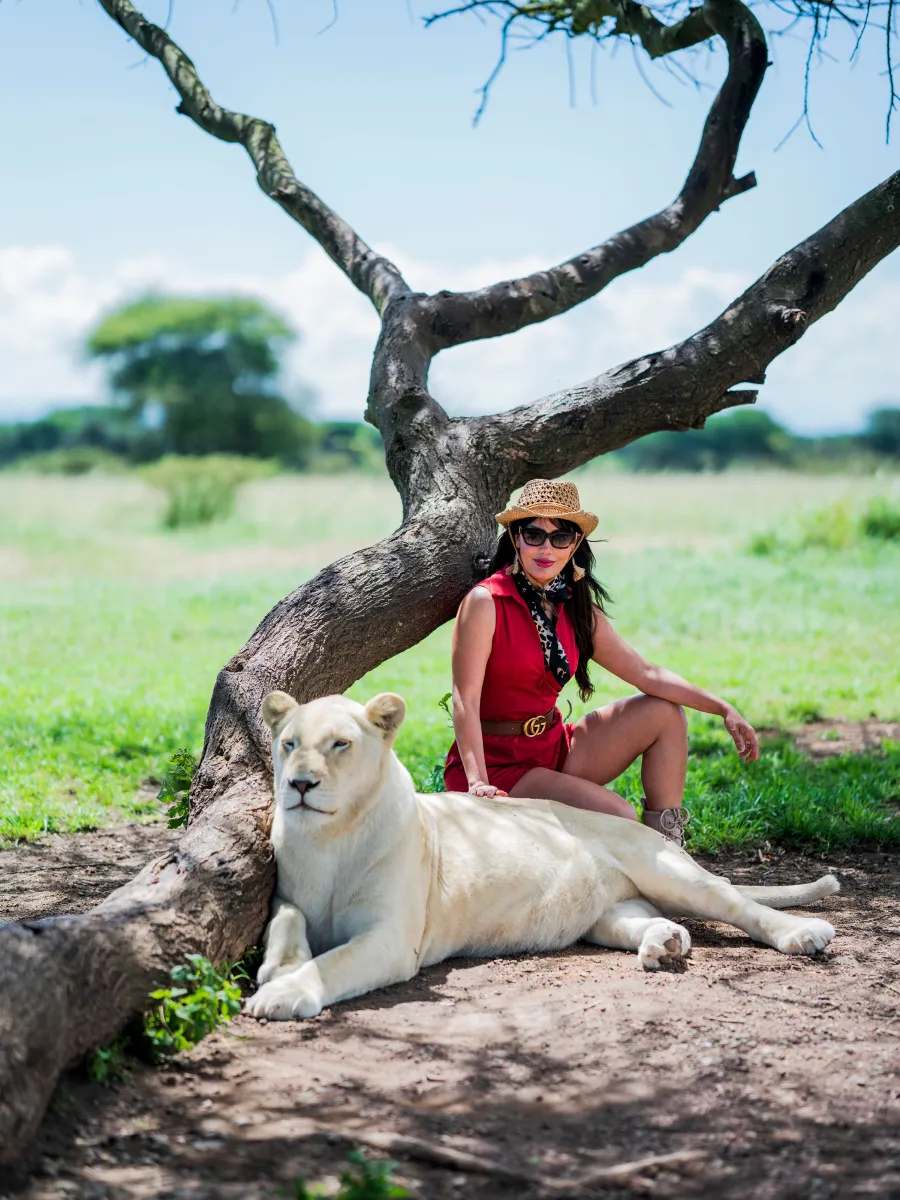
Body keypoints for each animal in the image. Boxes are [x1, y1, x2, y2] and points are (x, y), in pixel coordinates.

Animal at [245, 691, 838, 1021]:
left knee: (739, 907)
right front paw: (280, 965)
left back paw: (803, 934)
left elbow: (335, 964)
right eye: (289, 743)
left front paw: (283, 992)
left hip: (667, 870)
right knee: (650, 921)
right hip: (609, 912)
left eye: (340, 744)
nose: (299, 784)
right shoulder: (287, 894)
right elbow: (286, 919)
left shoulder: (392, 938)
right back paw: (664, 944)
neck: (331, 837)